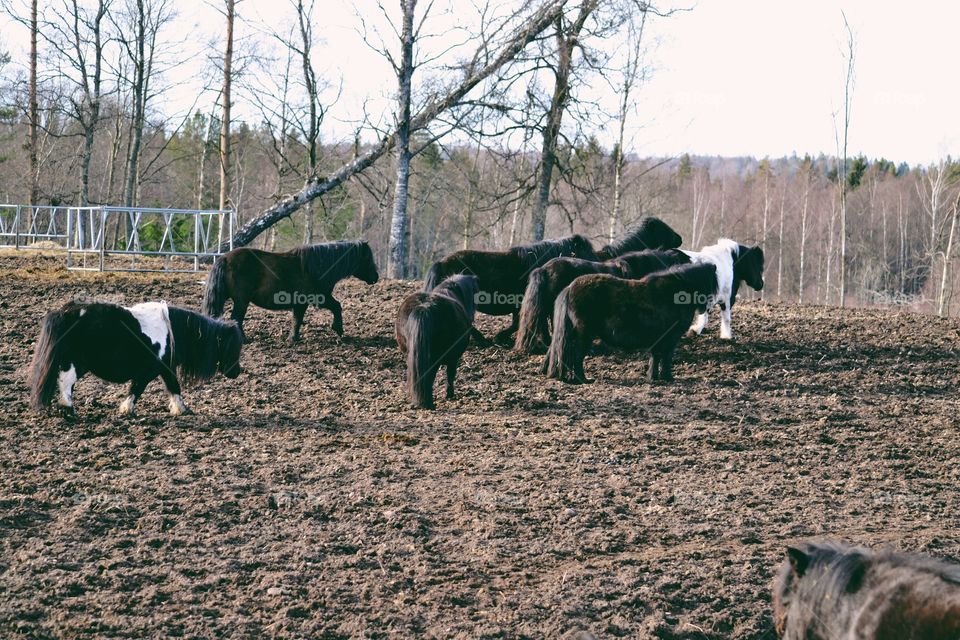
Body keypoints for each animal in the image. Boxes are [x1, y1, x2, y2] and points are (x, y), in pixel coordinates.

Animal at [28, 301, 243, 417]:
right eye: (234, 347)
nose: (237, 371)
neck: (171, 330)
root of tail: (65, 312)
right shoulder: (151, 371)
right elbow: (140, 388)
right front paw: (128, 409)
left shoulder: (165, 369)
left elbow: (171, 387)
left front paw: (180, 409)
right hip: (76, 363)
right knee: (65, 382)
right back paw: (68, 409)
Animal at [203, 241, 379, 342]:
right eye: (367, 258)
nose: (375, 277)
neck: (315, 267)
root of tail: (225, 258)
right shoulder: (317, 299)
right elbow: (336, 307)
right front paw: (338, 330)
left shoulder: (302, 303)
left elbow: (297, 319)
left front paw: (293, 338)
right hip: (241, 301)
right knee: (236, 319)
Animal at [395, 274, 480, 409]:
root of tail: (423, 307)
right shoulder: (453, 358)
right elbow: (450, 374)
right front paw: (450, 394)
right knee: (430, 377)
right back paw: (428, 402)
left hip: (410, 354)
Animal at [422, 235, 597, 345]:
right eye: (587, 251)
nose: (597, 266)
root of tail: (441, 263)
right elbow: (523, 324)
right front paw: (500, 338)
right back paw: (482, 340)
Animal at [542, 262, 717, 384]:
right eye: (711, 283)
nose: (705, 308)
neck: (672, 293)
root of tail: (570, 287)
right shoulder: (671, 338)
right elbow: (666, 357)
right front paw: (667, 377)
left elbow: (656, 357)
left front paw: (653, 377)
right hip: (584, 334)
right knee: (577, 356)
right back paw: (583, 380)